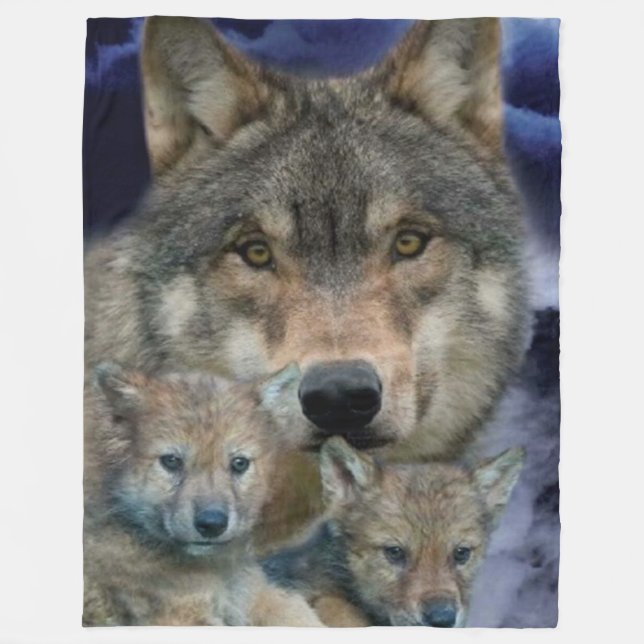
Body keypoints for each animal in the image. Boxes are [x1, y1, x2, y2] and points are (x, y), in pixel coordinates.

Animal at [83, 362, 323, 626]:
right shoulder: (182, 616)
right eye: (171, 461)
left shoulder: (251, 595)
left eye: (239, 463)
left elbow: (299, 613)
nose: (212, 524)